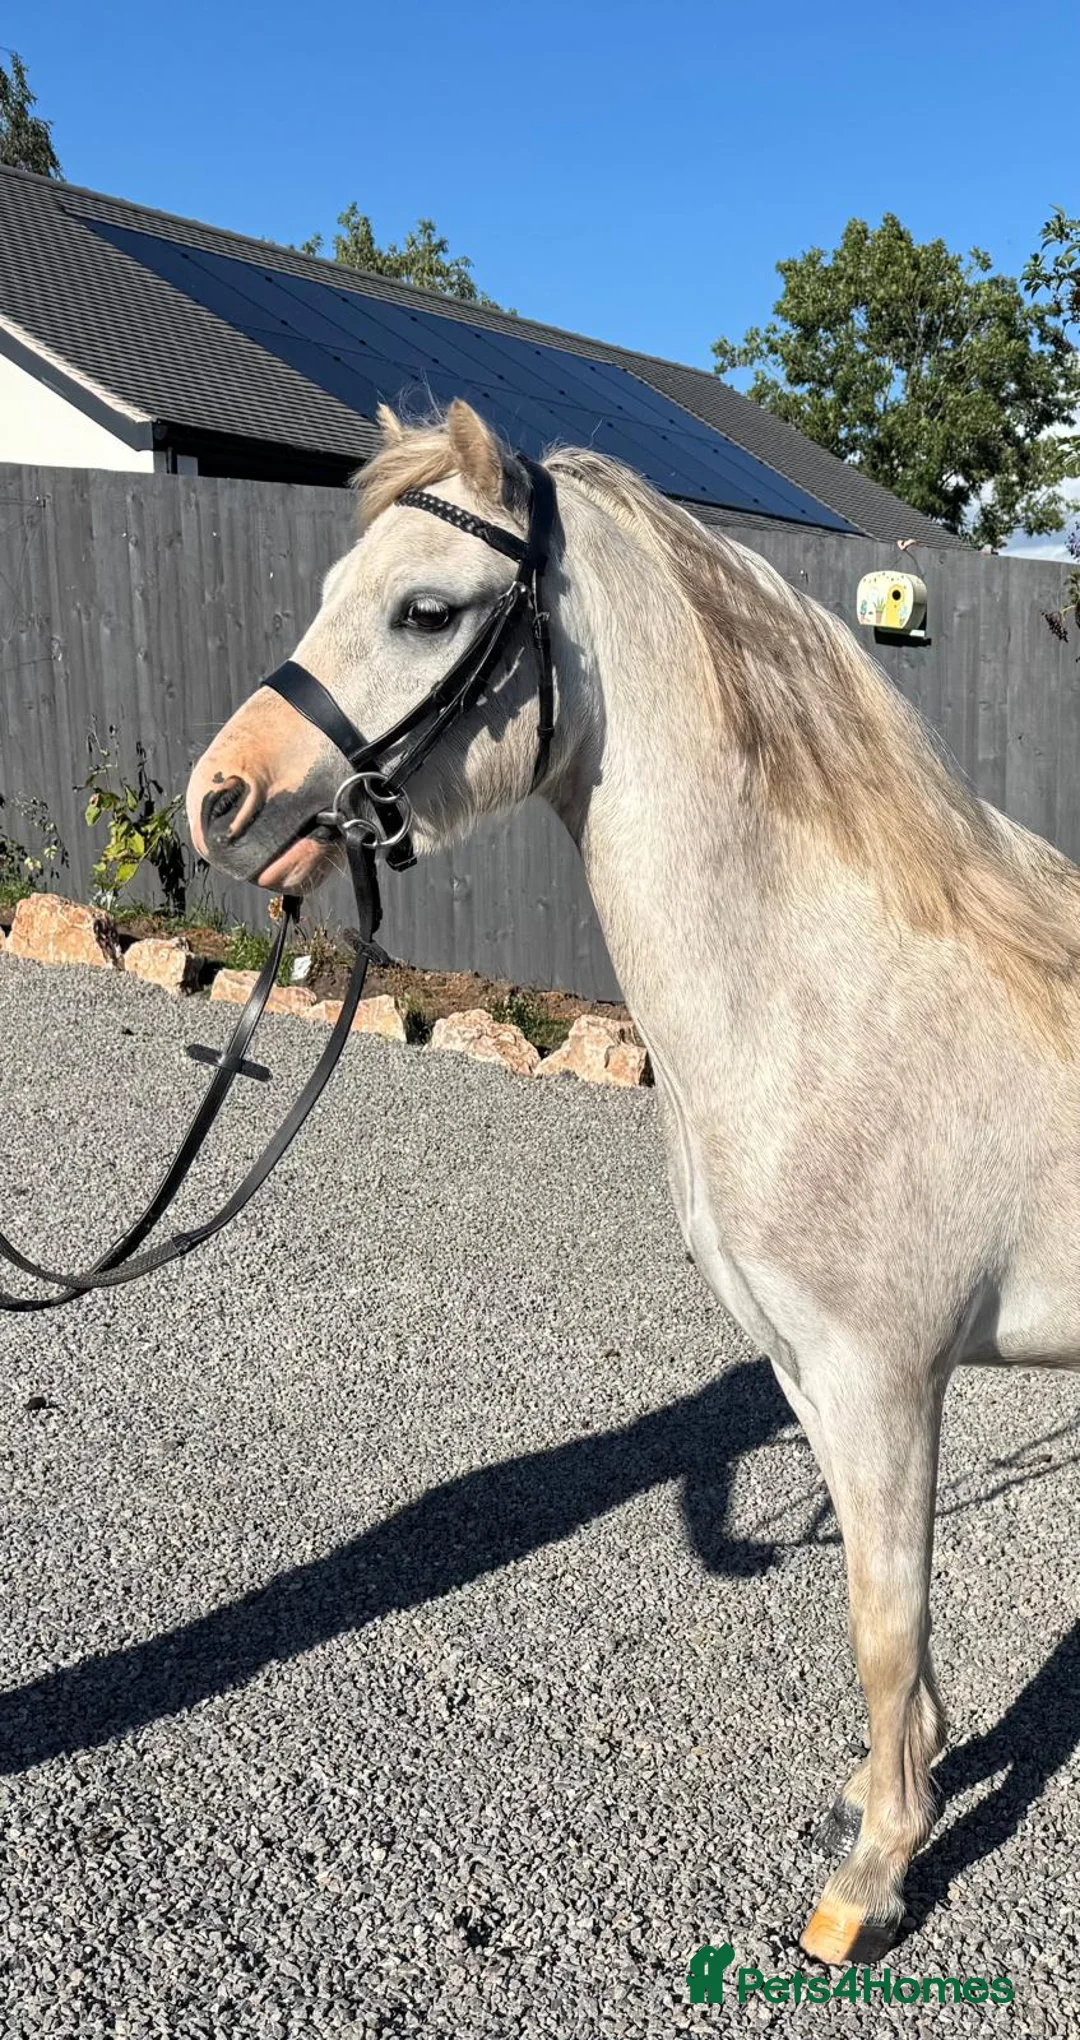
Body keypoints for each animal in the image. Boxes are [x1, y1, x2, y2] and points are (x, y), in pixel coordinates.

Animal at [186, 398, 1080, 1965]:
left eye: (427, 612)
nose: (216, 800)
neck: (831, 994)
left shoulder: (883, 1377)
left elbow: (883, 1621)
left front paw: (868, 1888)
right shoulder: (806, 1373)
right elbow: (884, 1611)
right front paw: (887, 1790)